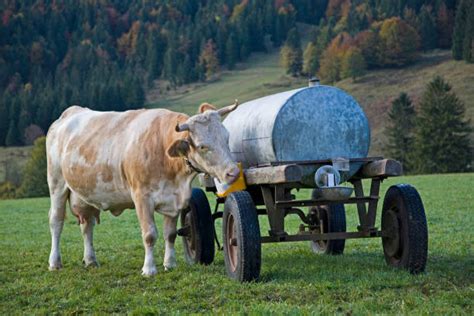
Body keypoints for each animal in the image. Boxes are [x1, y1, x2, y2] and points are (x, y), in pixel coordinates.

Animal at [47, 102, 241, 276]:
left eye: (226, 137)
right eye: (202, 146)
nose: (233, 172)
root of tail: (70, 112)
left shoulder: (173, 200)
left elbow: (170, 234)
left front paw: (170, 264)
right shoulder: (142, 198)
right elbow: (149, 235)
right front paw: (149, 269)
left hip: (85, 194)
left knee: (87, 225)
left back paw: (91, 260)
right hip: (57, 184)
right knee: (56, 222)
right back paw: (55, 262)